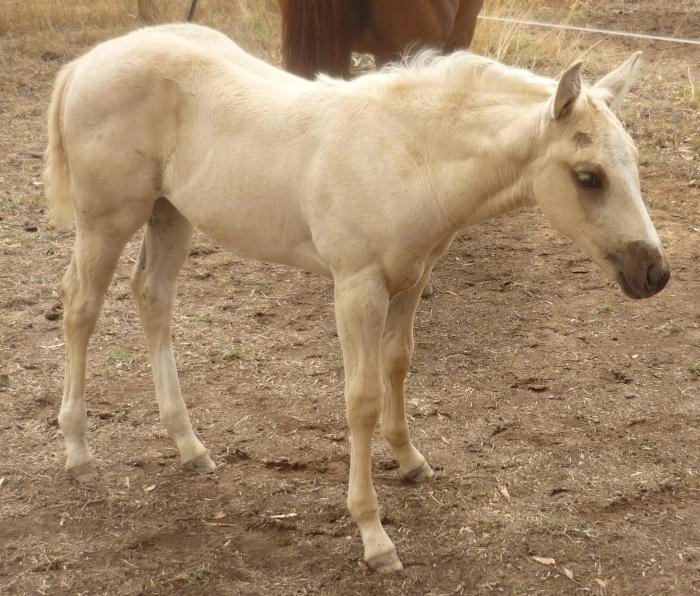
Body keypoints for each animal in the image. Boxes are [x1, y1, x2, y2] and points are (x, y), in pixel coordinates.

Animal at [44, 23, 669, 572]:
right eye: (588, 177)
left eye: (635, 162)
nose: (655, 273)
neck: (408, 155)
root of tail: (86, 62)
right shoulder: (356, 288)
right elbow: (361, 399)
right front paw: (374, 536)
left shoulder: (411, 278)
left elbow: (399, 364)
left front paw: (411, 460)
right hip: (106, 220)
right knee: (80, 307)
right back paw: (77, 452)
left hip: (170, 213)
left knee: (153, 298)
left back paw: (189, 446)